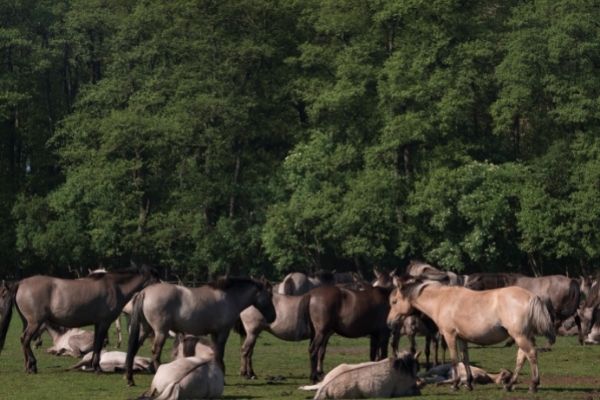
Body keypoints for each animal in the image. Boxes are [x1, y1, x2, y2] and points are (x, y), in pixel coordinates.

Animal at [0, 264, 158, 374]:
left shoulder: (98, 324)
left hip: (28, 322)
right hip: (34, 323)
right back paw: (32, 365)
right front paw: (97, 367)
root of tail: (21, 283)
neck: (114, 286)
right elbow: (98, 344)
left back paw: (28, 366)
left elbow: (97, 344)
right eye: (157, 280)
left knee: (24, 341)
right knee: (25, 339)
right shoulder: (104, 323)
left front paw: (94, 366)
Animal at [127, 276, 278, 386]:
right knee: (156, 352)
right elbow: (220, 354)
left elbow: (216, 353)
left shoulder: (214, 334)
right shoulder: (223, 332)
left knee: (133, 349)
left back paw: (130, 379)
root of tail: (145, 292)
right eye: (269, 295)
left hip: (145, 330)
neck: (228, 298)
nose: (273, 317)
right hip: (161, 332)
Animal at [386, 276, 556, 392]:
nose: (389, 323)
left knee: (531, 354)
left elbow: (454, 359)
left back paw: (533, 385)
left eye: (394, 302)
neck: (442, 300)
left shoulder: (450, 336)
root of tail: (532, 296)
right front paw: (468, 383)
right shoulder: (462, 338)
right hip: (523, 336)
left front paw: (455, 385)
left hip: (520, 336)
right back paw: (509, 385)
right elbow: (465, 359)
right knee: (522, 357)